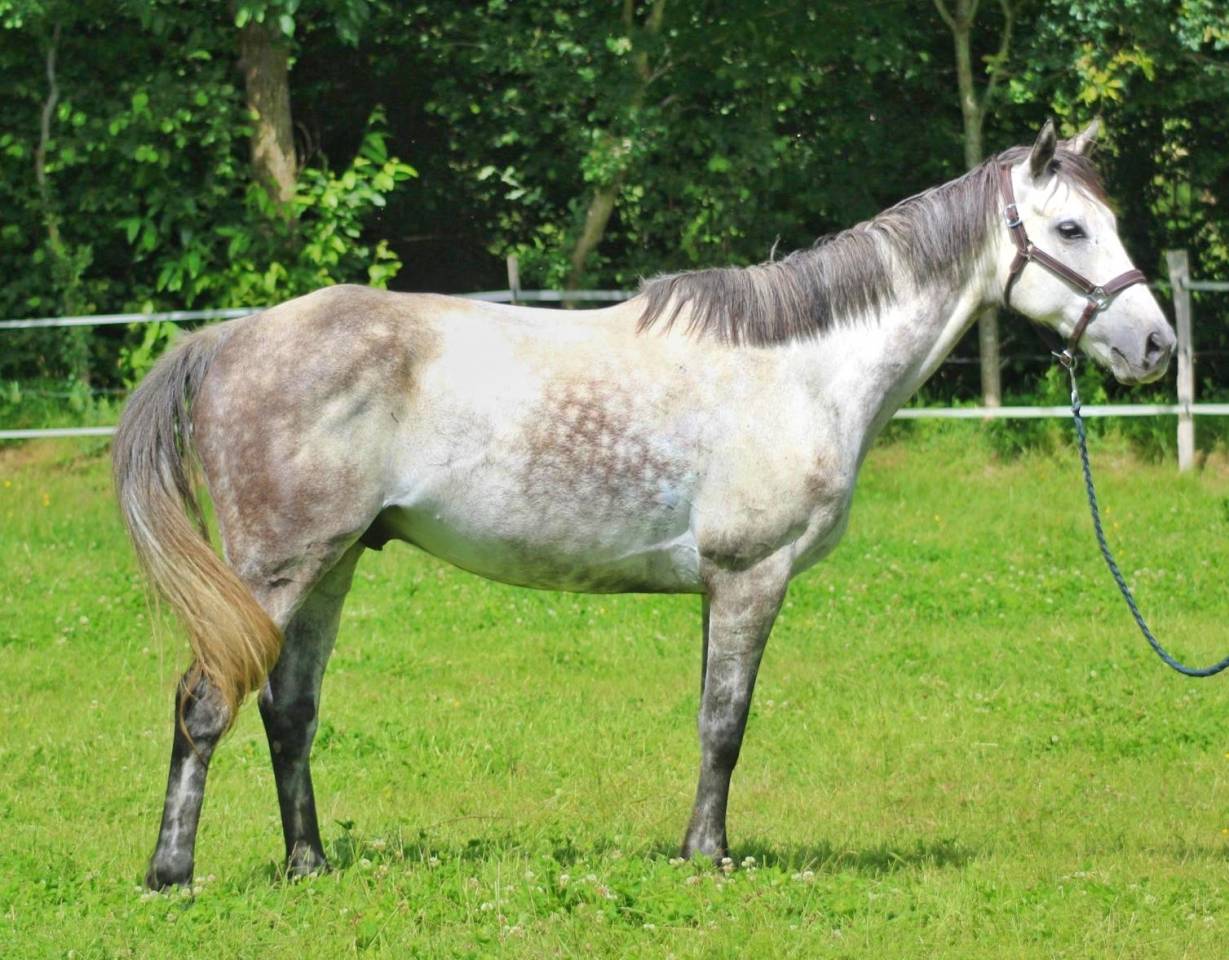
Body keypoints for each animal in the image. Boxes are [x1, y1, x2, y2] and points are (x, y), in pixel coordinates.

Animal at [113, 120, 1175, 889]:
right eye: (1071, 230)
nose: (1156, 346)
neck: (803, 370)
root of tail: (231, 338)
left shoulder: (720, 589)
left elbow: (710, 718)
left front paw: (697, 847)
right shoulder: (751, 578)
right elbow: (725, 724)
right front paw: (708, 858)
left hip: (329, 567)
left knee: (289, 711)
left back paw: (309, 865)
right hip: (274, 570)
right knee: (205, 702)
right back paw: (172, 874)